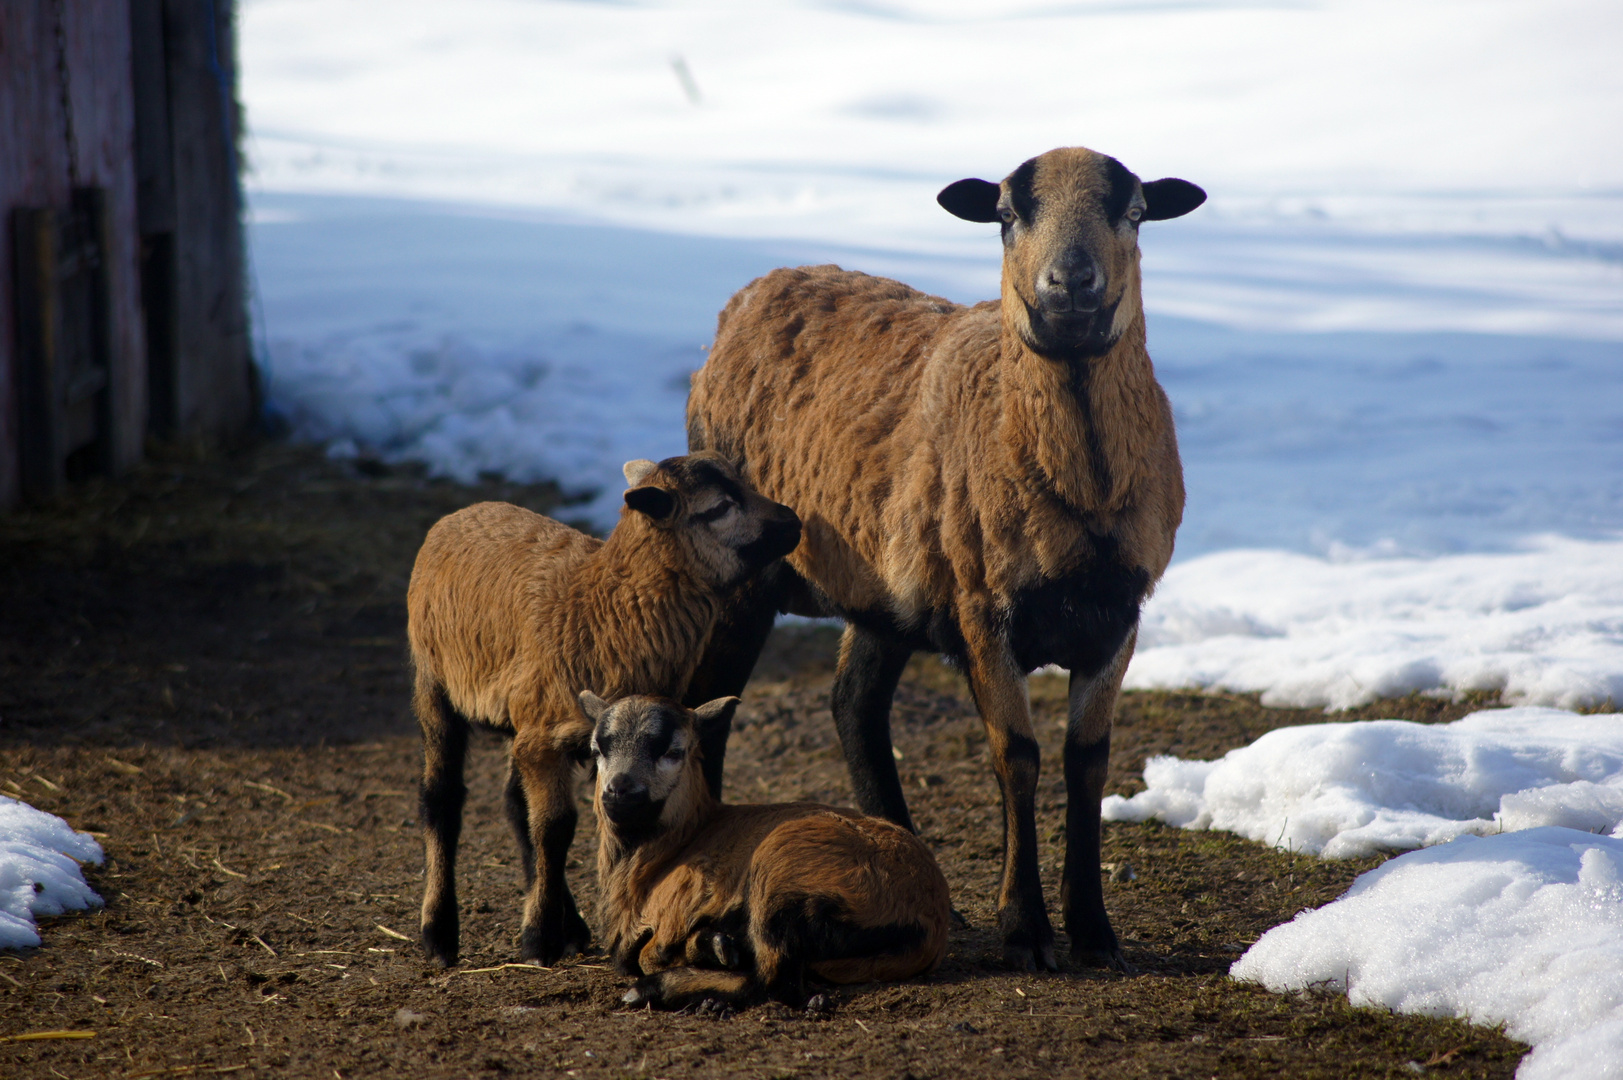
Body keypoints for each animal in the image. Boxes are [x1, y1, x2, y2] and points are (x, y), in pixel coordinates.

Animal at [408, 451, 801, 961]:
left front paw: (555, 926)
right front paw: (538, 940)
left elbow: (554, 822)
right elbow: (555, 829)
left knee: (515, 806)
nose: (794, 523)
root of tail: (458, 515)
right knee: (442, 797)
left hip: (522, 721)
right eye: (717, 508)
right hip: (434, 683)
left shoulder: (563, 735)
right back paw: (438, 933)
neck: (600, 607)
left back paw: (569, 924)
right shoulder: (548, 739)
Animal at [684, 145, 1207, 967]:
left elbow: (1086, 759)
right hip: (746, 569)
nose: (1069, 284)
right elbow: (1017, 755)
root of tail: (756, 291)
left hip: (884, 592)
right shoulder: (980, 607)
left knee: (853, 705)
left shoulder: (1120, 613)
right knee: (713, 704)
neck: (1081, 490)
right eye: (1005, 215)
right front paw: (1025, 931)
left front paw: (1093, 932)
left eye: (1133, 212)